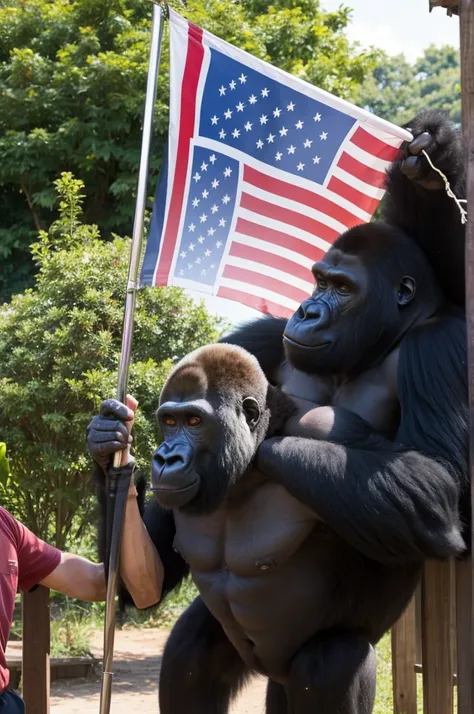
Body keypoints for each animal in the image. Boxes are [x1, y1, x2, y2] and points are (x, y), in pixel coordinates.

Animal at [87, 107, 468, 712]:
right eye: (318, 280)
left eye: (342, 288)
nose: (307, 311)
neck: (373, 345)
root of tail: (275, 674)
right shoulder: (266, 333)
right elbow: (142, 582)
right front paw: (109, 450)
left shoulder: (441, 344)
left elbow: (436, 484)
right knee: (191, 651)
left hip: (304, 666)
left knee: (331, 660)